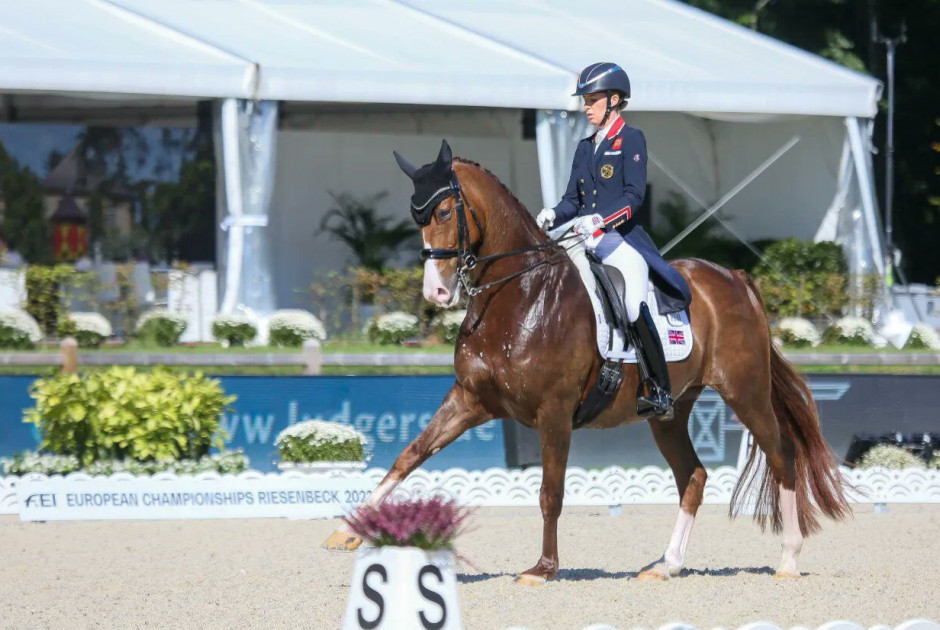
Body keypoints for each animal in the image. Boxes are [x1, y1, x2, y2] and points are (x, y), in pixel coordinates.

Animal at [324, 142, 852, 588]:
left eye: (445, 211)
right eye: (415, 217)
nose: (436, 292)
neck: (519, 295)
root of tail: (736, 277)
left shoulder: (554, 412)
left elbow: (550, 492)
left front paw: (542, 569)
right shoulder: (471, 400)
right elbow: (409, 455)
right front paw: (351, 529)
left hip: (745, 391)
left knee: (782, 456)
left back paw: (788, 558)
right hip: (670, 412)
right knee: (694, 477)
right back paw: (667, 565)